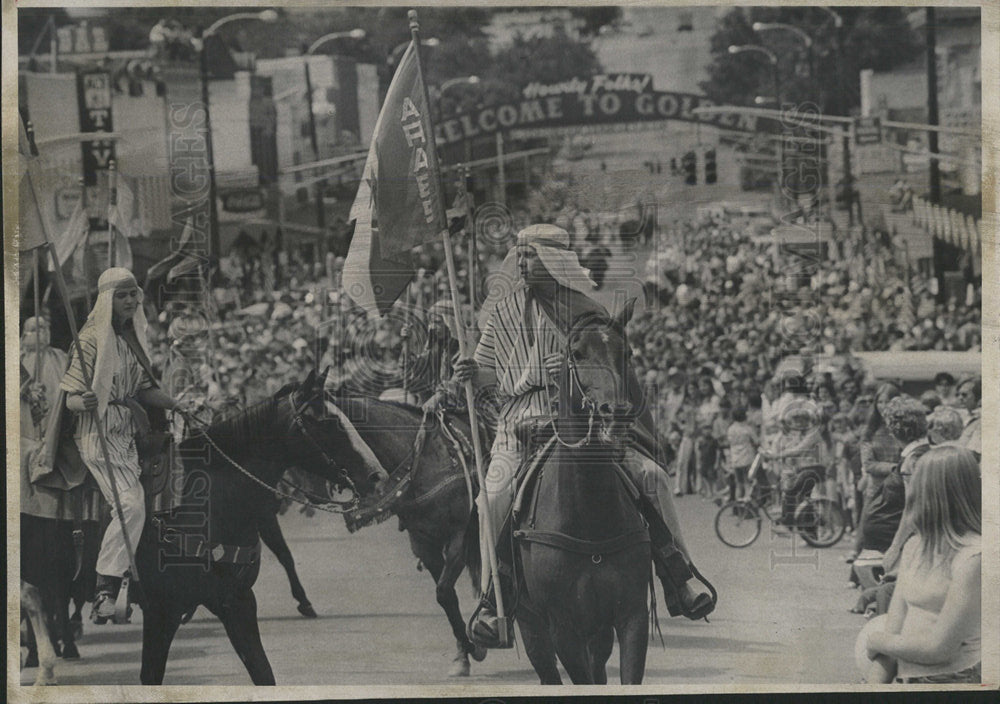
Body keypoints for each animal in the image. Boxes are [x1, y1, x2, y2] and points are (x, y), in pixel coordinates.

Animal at [312, 396, 484, 676]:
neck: (426, 461)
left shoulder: (459, 537)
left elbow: (445, 590)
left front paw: (475, 645)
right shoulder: (425, 544)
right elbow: (445, 595)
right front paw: (464, 653)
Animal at [512, 306, 652, 684]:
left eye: (626, 352)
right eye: (577, 353)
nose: (615, 413)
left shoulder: (632, 615)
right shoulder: (562, 628)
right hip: (533, 626)